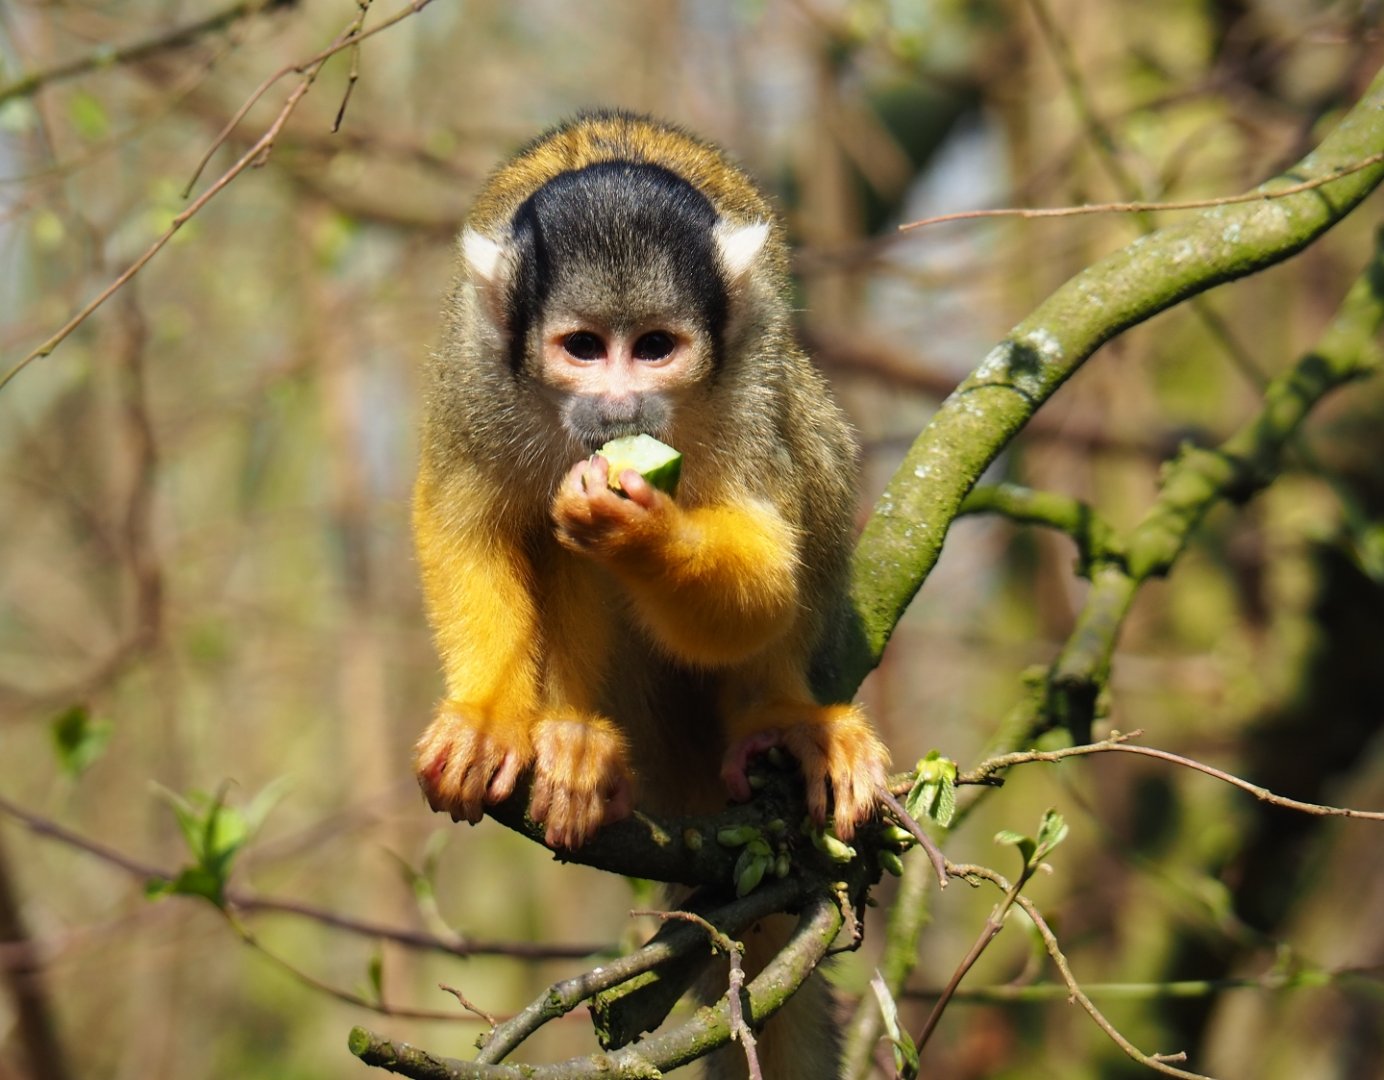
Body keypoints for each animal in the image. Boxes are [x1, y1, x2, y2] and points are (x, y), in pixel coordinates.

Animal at [411, 112, 890, 1078]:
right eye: (585, 348)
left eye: (655, 349)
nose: (621, 405)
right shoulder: (476, 372)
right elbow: (462, 514)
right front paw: (485, 717)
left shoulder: (743, 380)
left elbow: (768, 567)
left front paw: (641, 531)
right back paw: (573, 735)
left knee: (810, 441)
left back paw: (776, 716)